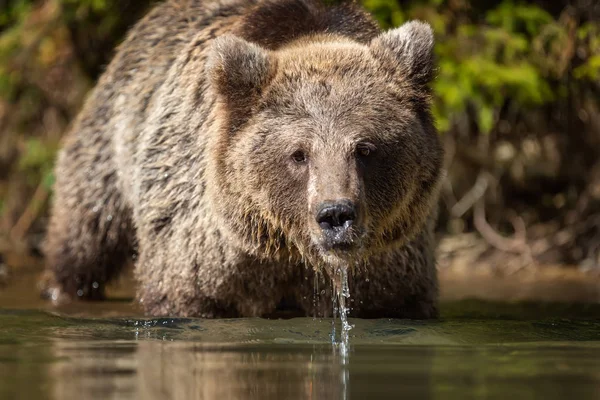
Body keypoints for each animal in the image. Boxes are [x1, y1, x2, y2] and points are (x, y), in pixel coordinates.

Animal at [42, 0, 442, 318]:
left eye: (365, 148)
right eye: (299, 154)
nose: (335, 214)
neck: (289, 250)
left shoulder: (392, 260)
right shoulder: (201, 245)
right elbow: (183, 295)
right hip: (113, 133)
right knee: (85, 232)